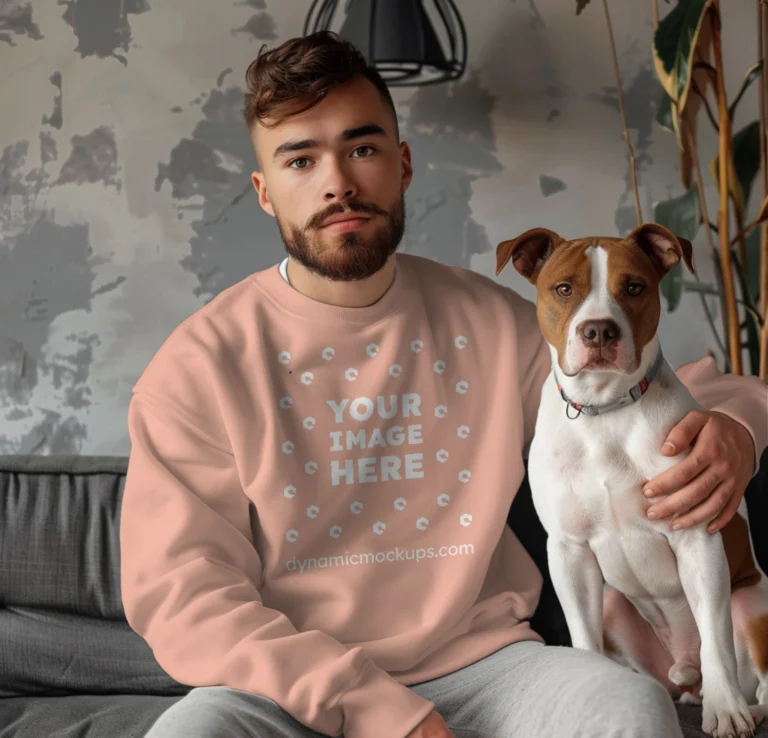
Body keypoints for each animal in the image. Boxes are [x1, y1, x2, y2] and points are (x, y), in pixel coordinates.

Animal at [496, 221, 768, 732]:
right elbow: (582, 639)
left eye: (634, 288)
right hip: (613, 605)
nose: (599, 329)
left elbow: (715, 638)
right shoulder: (568, 551)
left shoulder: (696, 537)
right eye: (564, 289)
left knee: (752, 674)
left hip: (753, 605)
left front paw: (725, 712)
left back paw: (742, 705)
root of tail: (684, 671)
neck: (605, 410)